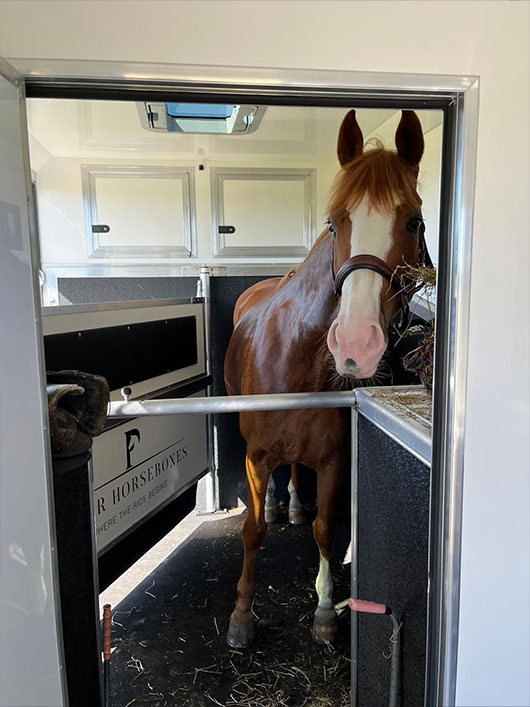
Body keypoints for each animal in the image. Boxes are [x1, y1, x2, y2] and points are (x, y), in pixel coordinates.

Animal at [224, 109, 428, 649]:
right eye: (335, 222)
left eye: (414, 221)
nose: (356, 344)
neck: (296, 358)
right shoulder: (255, 457)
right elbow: (252, 530)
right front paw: (242, 615)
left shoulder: (335, 460)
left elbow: (323, 530)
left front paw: (324, 611)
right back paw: (280, 506)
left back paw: (293, 504)